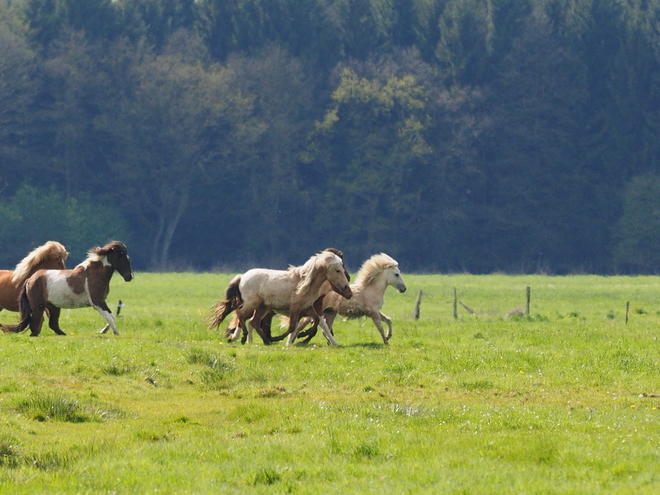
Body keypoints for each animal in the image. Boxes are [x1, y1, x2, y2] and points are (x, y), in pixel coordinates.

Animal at [0, 241, 134, 338]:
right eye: (122, 257)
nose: (130, 277)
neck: (94, 274)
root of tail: (29, 279)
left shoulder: (101, 302)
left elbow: (112, 316)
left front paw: (103, 331)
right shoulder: (97, 302)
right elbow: (109, 317)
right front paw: (115, 333)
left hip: (53, 307)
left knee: (50, 324)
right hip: (38, 306)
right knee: (36, 324)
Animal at [208, 250, 354, 346]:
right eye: (338, 270)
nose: (348, 291)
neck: (304, 284)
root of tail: (242, 276)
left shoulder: (308, 308)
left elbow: (317, 322)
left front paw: (301, 336)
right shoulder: (296, 308)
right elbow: (292, 327)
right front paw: (283, 339)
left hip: (262, 308)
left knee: (253, 322)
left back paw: (264, 341)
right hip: (252, 305)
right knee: (241, 315)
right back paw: (244, 338)